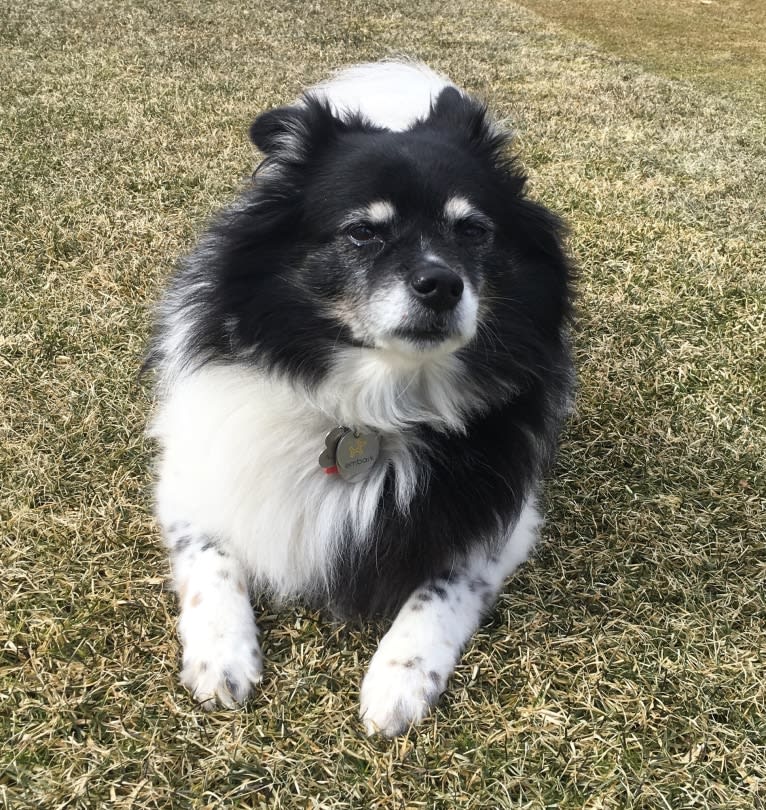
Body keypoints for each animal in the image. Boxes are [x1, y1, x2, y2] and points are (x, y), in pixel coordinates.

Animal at [146, 60, 576, 736]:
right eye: (362, 233)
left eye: (474, 230)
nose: (441, 284)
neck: (374, 403)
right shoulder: (192, 471)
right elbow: (211, 555)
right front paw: (222, 655)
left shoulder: (506, 512)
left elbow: (446, 583)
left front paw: (400, 677)